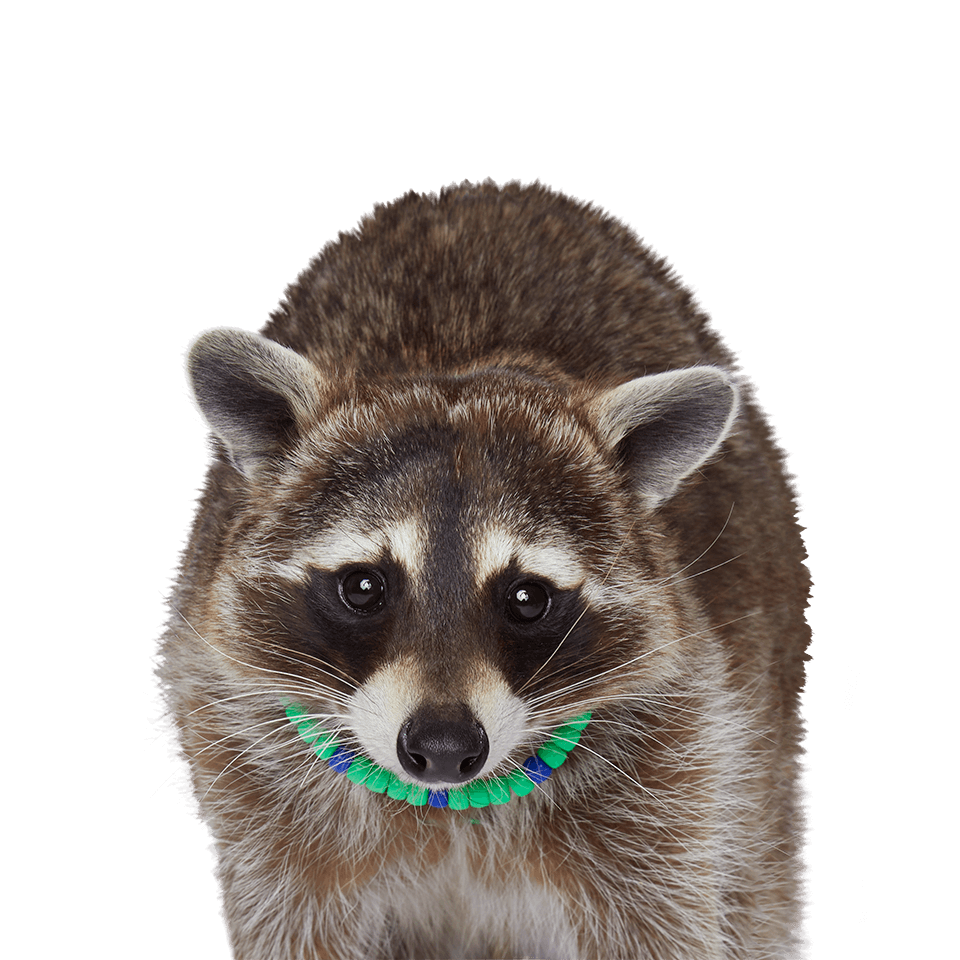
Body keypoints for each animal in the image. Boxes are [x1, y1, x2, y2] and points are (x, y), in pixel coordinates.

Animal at [153, 179, 810, 960]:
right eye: (363, 587)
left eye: (527, 598)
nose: (442, 749)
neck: (449, 805)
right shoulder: (247, 772)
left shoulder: (676, 769)